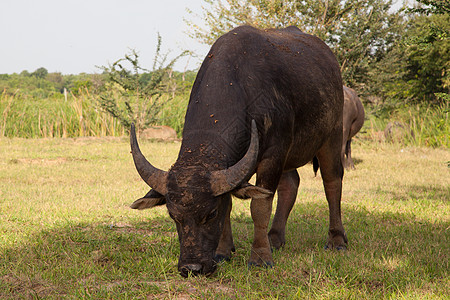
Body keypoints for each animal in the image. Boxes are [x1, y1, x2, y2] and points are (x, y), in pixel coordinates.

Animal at [128, 25, 346, 276]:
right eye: (173, 215)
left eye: (210, 214)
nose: (191, 267)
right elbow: (230, 205)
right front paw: (223, 252)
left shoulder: (272, 156)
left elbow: (259, 206)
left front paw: (260, 258)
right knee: (291, 184)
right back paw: (274, 238)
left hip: (332, 135)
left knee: (332, 182)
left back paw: (336, 240)